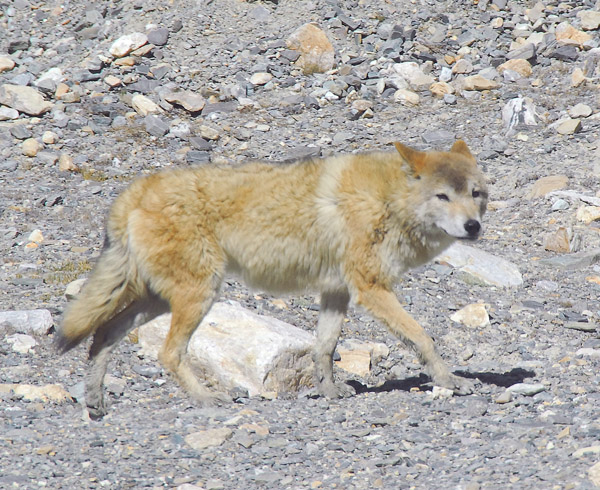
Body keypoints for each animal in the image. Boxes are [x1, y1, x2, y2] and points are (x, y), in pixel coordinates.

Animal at [56, 139, 488, 418]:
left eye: (475, 193)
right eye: (443, 197)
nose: (473, 227)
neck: (387, 200)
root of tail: (136, 190)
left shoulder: (336, 292)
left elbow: (323, 349)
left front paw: (329, 391)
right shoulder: (371, 289)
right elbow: (422, 338)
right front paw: (451, 380)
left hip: (161, 300)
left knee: (104, 334)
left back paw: (95, 401)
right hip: (197, 297)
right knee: (167, 353)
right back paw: (206, 400)